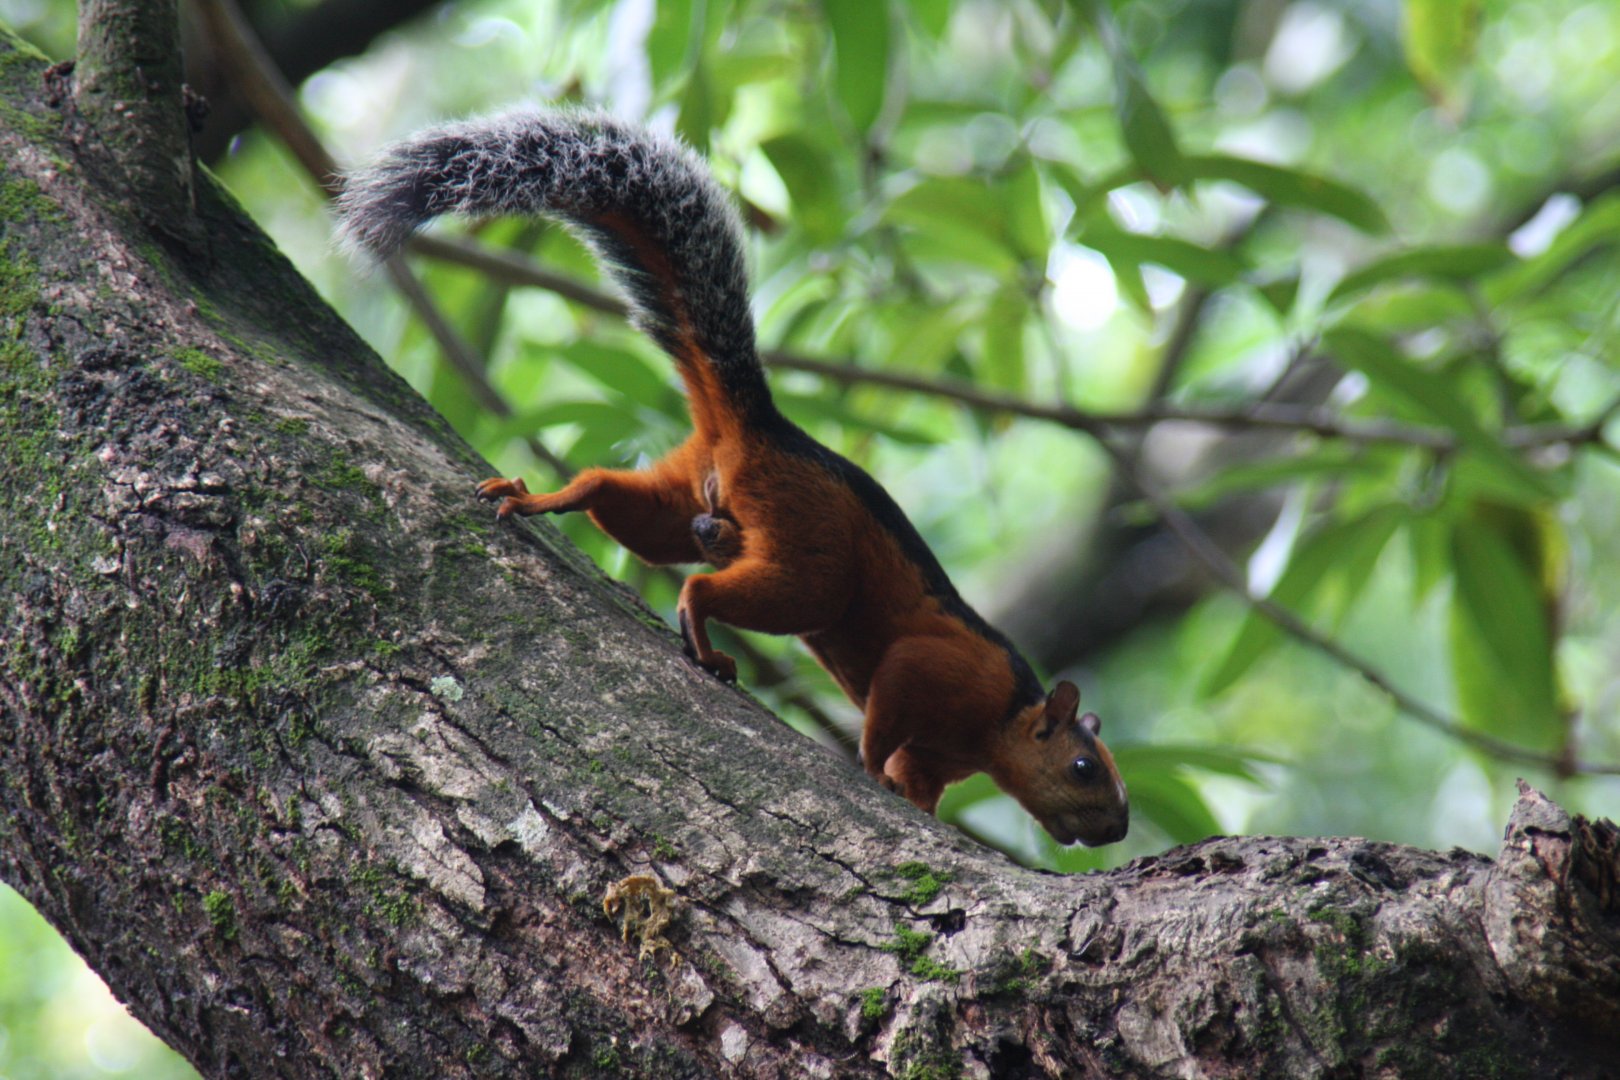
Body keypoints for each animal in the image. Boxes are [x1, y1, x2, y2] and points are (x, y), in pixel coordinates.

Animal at [336, 108, 1129, 846]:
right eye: (1084, 767)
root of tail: (761, 427)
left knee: (615, 499)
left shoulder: (939, 754)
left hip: (684, 496)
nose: (1118, 830)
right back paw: (707, 641)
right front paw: (874, 772)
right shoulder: (939, 667)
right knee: (708, 588)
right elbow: (889, 712)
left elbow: (920, 779)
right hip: (812, 563)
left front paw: (916, 805)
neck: (1003, 715)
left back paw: (539, 498)